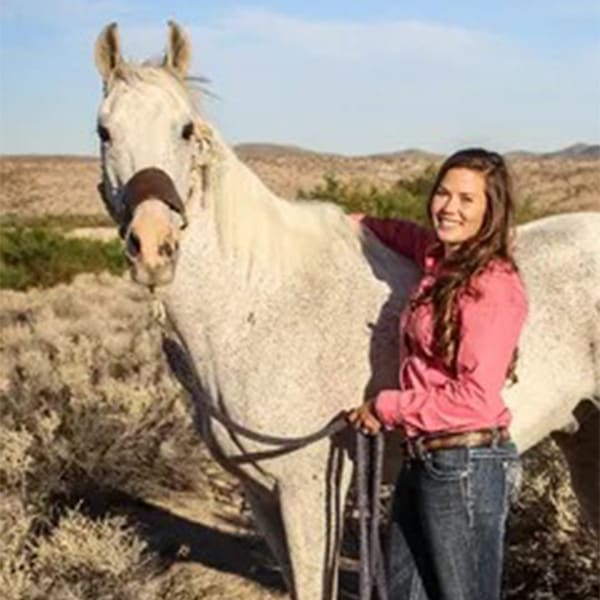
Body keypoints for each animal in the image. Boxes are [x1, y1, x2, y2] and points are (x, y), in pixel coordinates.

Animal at [95, 22, 600, 600]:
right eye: (104, 131)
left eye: (184, 130)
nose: (152, 248)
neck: (255, 306)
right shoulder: (261, 495)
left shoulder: (308, 490)